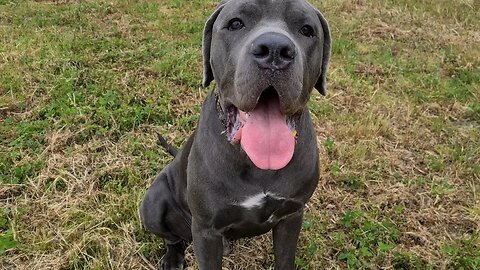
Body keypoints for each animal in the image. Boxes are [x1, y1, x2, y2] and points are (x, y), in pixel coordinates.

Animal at [139, 0, 330, 268]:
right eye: (236, 23)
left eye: (306, 30)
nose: (274, 50)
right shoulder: (206, 231)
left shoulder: (291, 216)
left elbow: (285, 258)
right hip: (153, 204)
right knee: (172, 237)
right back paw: (173, 258)